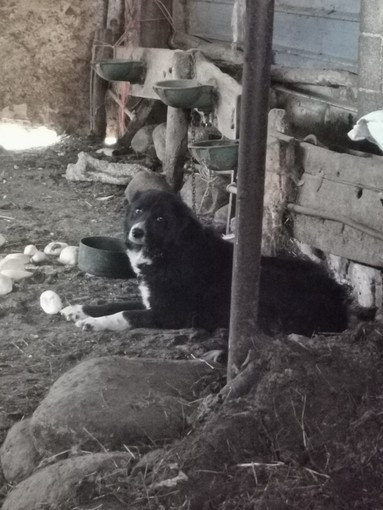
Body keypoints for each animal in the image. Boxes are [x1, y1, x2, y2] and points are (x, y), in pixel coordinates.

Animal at [62, 189, 352, 336]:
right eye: (138, 211)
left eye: (160, 219)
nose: (136, 232)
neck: (170, 252)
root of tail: (340, 298)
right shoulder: (151, 300)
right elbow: (114, 304)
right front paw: (78, 309)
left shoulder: (170, 313)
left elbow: (124, 314)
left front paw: (95, 323)